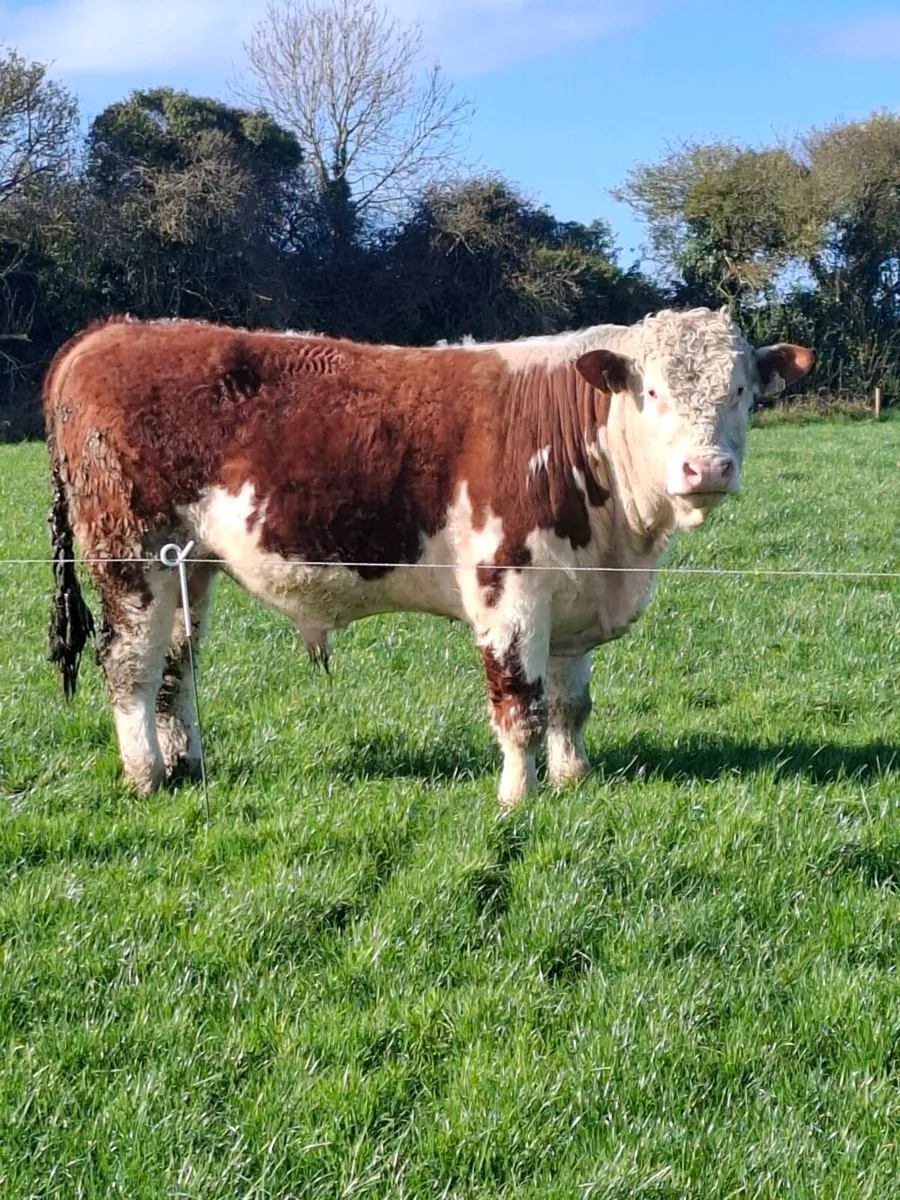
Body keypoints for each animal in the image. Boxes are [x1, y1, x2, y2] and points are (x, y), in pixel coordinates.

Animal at [44, 309, 814, 808]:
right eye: (652, 391)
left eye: (741, 390)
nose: (705, 468)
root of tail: (110, 330)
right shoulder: (508, 587)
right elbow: (520, 704)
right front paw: (518, 797)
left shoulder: (573, 596)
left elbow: (571, 705)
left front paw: (574, 778)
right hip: (131, 553)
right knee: (131, 665)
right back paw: (145, 775)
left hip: (190, 564)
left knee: (177, 665)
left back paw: (187, 765)